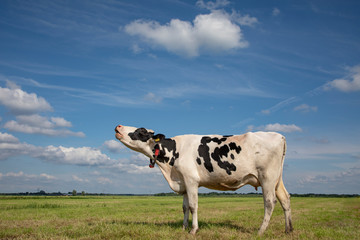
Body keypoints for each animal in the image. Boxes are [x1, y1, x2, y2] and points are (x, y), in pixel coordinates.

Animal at [114, 124, 292, 234]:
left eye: (141, 131)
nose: (118, 126)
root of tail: (279, 135)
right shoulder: (183, 182)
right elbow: (185, 207)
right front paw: (184, 228)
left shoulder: (191, 179)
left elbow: (193, 206)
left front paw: (193, 230)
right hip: (277, 179)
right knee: (285, 199)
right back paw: (288, 229)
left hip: (267, 177)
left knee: (269, 202)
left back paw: (260, 231)